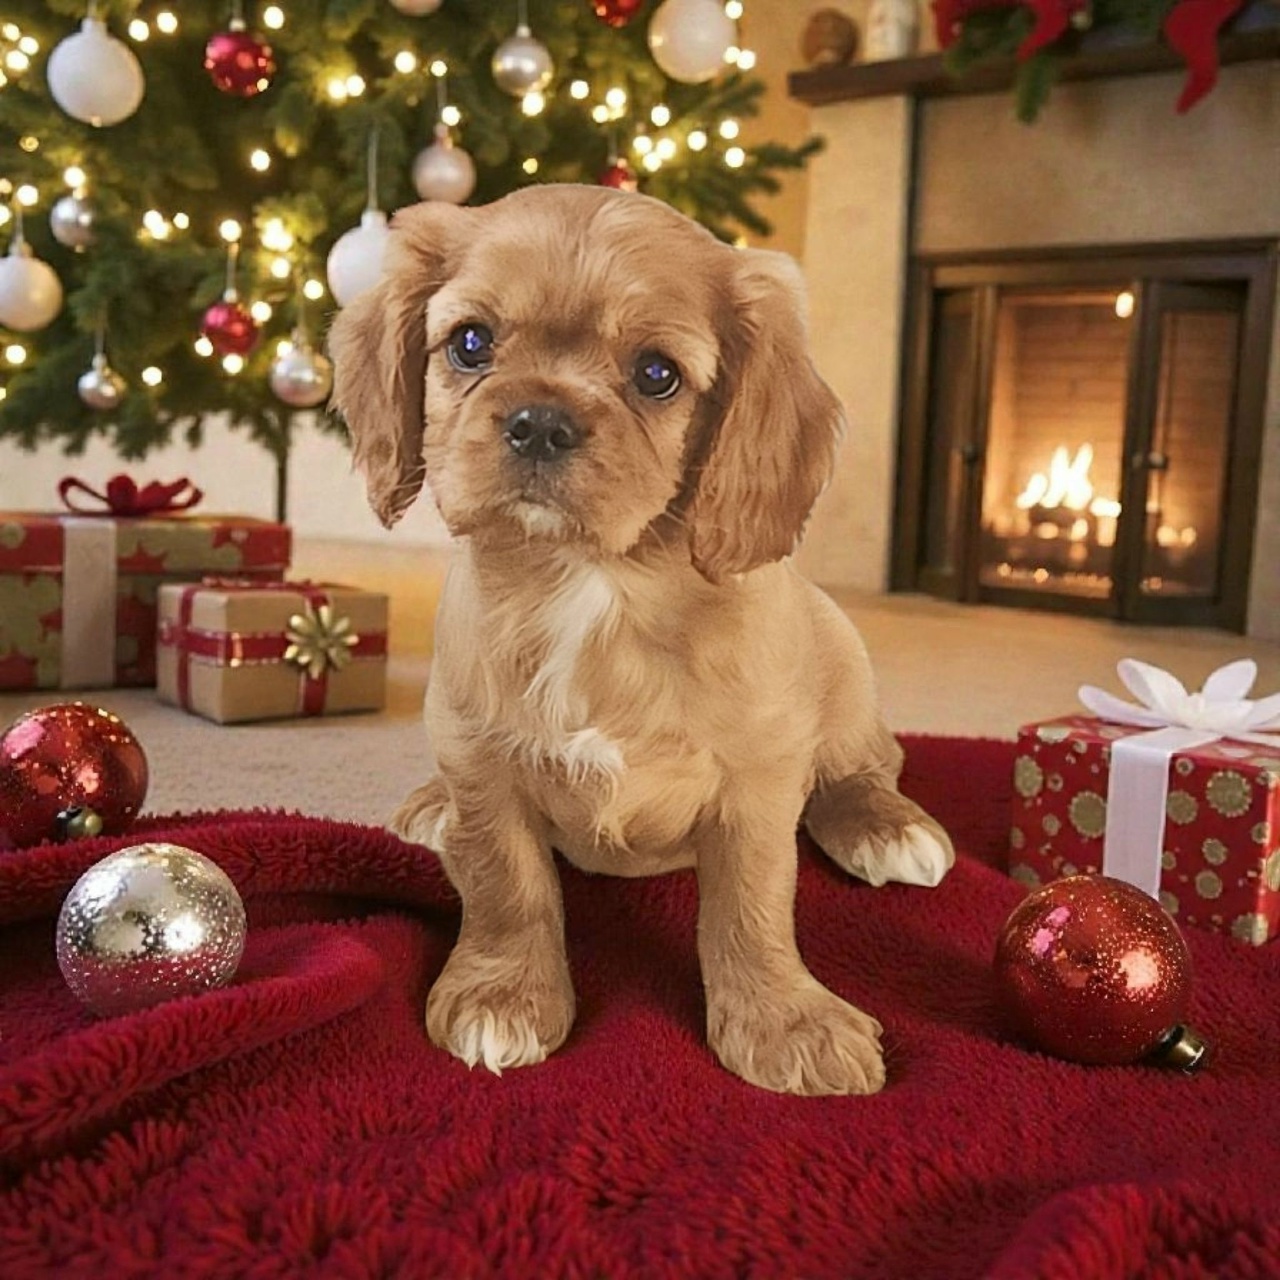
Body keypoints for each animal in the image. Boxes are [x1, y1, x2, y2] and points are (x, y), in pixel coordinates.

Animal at [328, 184, 954, 1096]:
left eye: (657, 374)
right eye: (471, 343)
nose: (540, 422)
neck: (595, 587)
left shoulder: (759, 781)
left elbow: (752, 903)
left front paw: (785, 1022)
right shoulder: (481, 759)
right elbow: (507, 882)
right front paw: (504, 997)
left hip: (845, 676)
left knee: (869, 768)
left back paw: (887, 828)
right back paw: (432, 807)